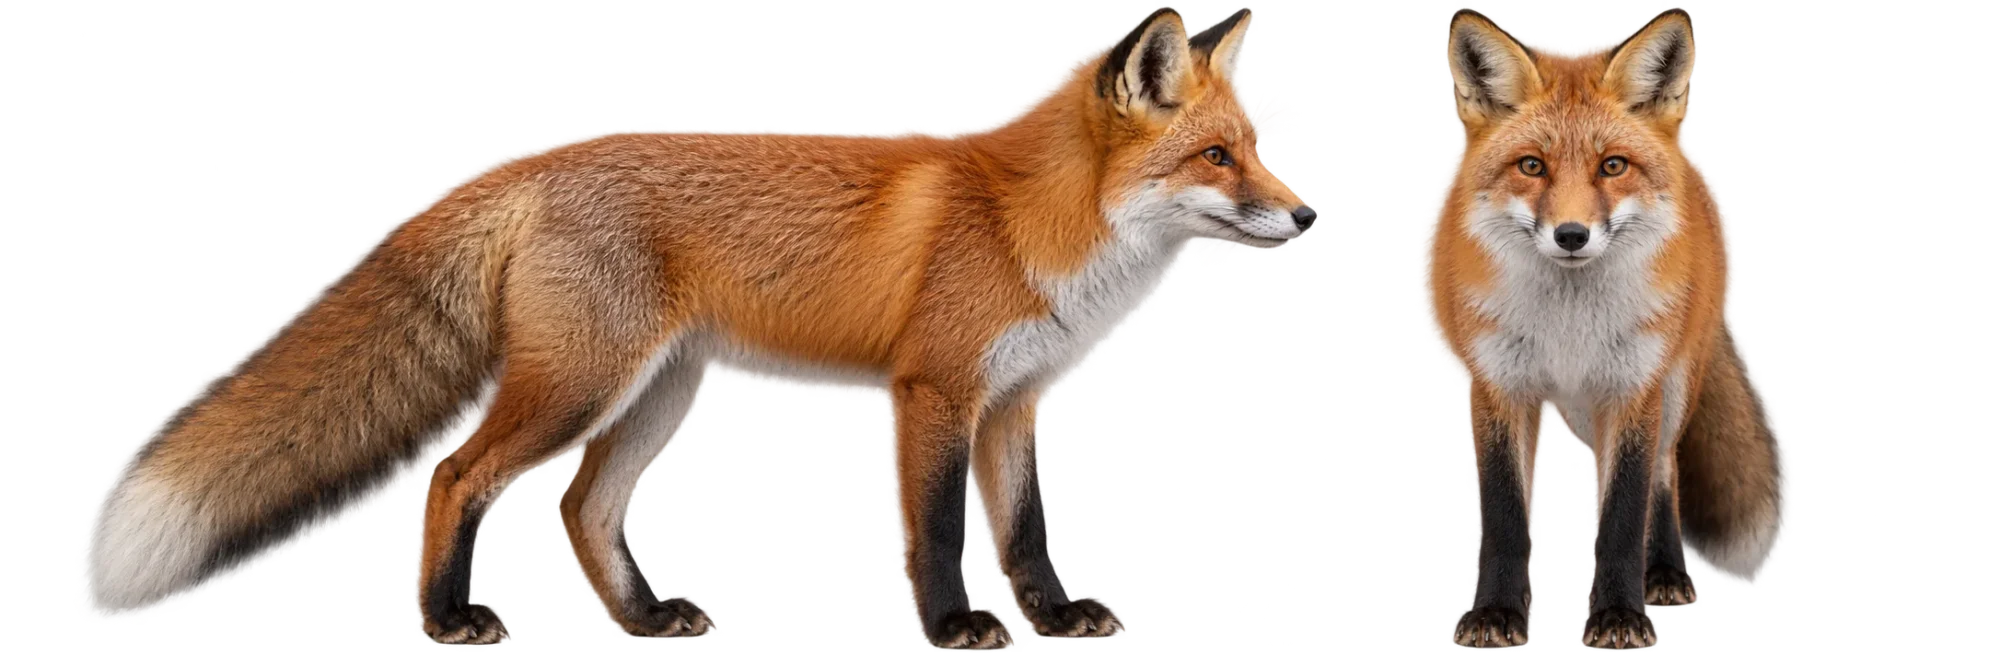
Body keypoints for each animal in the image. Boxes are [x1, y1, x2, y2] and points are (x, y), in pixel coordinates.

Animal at [75, 6, 1312, 652]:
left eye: (1259, 147)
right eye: (1214, 158)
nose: (1304, 214)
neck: (1030, 223)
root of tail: (526, 162)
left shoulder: (1010, 407)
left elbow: (1027, 532)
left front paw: (1052, 615)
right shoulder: (933, 395)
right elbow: (940, 533)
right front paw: (955, 623)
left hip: (657, 394)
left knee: (580, 507)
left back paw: (638, 617)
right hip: (581, 385)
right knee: (455, 476)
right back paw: (446, 615)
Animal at [1417, 8, 1791, 652]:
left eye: (1612, 166)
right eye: (1532, 166)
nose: (1571, 235)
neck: (1569, 331)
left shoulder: (1632, 388)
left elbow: (1623, 511)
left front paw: (1619, 615)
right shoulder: (1497, 390)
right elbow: (1506, 514)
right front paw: (1496, 614)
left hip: (1673, 387)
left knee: (1665, 474)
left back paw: (1663, 573)